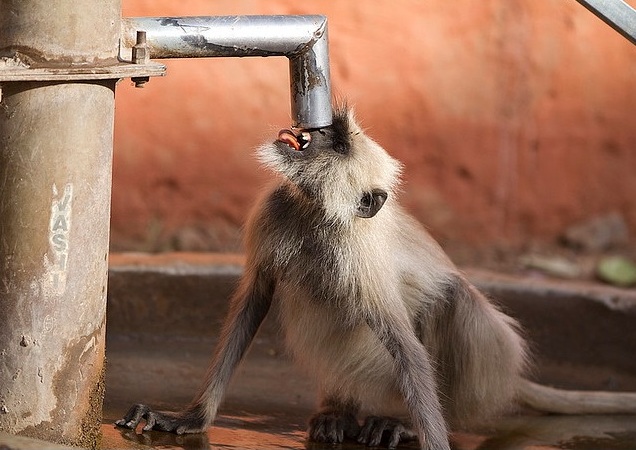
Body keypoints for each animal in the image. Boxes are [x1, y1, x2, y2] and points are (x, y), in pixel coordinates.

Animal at [117, 106, 636, 450]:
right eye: (330, 132)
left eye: (340, 143)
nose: (315, 130)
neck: (314, 213)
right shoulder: (275, 210)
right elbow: (253, 302)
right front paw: (188, 418)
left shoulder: (357, 253)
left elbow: (406, 347)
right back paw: (339, 414)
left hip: (477, 365)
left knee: (455, 299)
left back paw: (398, 423)